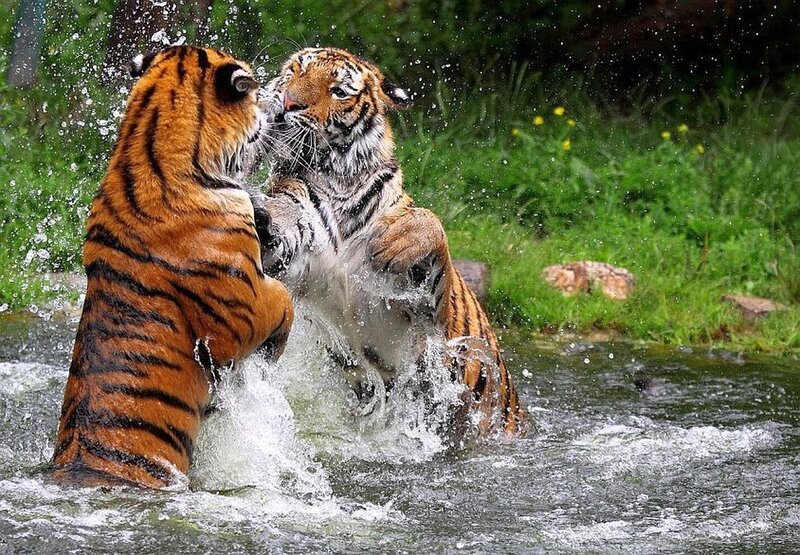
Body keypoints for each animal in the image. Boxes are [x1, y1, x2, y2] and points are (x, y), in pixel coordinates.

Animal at [249, 47, 525, 437]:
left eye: (338, 91)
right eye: (296, 71)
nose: (288, 103)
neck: (339, 179)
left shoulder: (429, 309)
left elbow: (430, 223)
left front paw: (396, 241)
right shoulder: (297, 241)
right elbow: (282, 224)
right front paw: (260, 212)